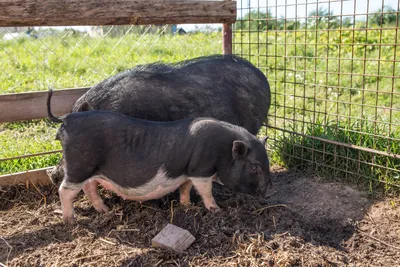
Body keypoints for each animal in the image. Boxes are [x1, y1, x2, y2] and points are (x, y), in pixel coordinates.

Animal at [46, 89, 272, 224]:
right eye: (254, 166)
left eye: (267, 163)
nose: (267, 191)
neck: (222, 150)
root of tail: (67, 118)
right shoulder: (201, 170)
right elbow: (205, 191)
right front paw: (216, 210)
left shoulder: (187, 171)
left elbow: (185, 187)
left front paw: (187, 205)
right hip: (79, 165)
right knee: (65, 190)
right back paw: (71, 221)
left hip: (90, 169)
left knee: (89, 186)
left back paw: (105, 210)